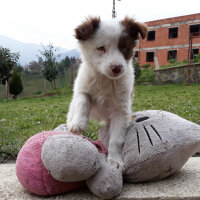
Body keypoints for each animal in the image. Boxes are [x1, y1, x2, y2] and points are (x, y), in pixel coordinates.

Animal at [67, 16, 147, 172]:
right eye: (101, 48)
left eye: (124, 48)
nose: (116, 68)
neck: (105, 78)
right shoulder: (82, 87)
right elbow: (83, 100)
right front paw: (79, 123)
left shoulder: (121, 110)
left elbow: (116, 139)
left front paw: (115, 160)